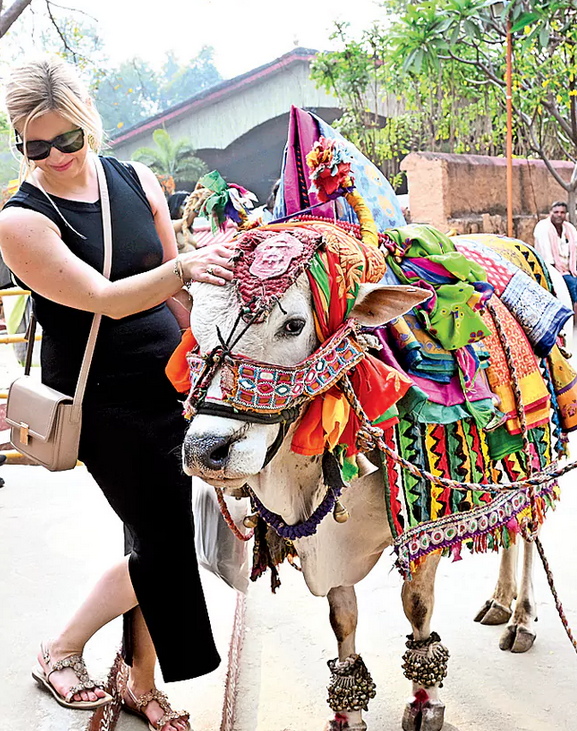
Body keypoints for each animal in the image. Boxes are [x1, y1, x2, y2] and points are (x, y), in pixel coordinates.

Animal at [166, 110, 576, 731]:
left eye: (293, 324)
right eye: (194, 320)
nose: (204, 451)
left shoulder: (424, 521)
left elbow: (417, 606)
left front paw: (426, 701)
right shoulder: (328, 544)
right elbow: (344, 619)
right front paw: (349, 711)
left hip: (537, 452)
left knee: (529, 528)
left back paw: (523, 617)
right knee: (510, 526)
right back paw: (500, 600)